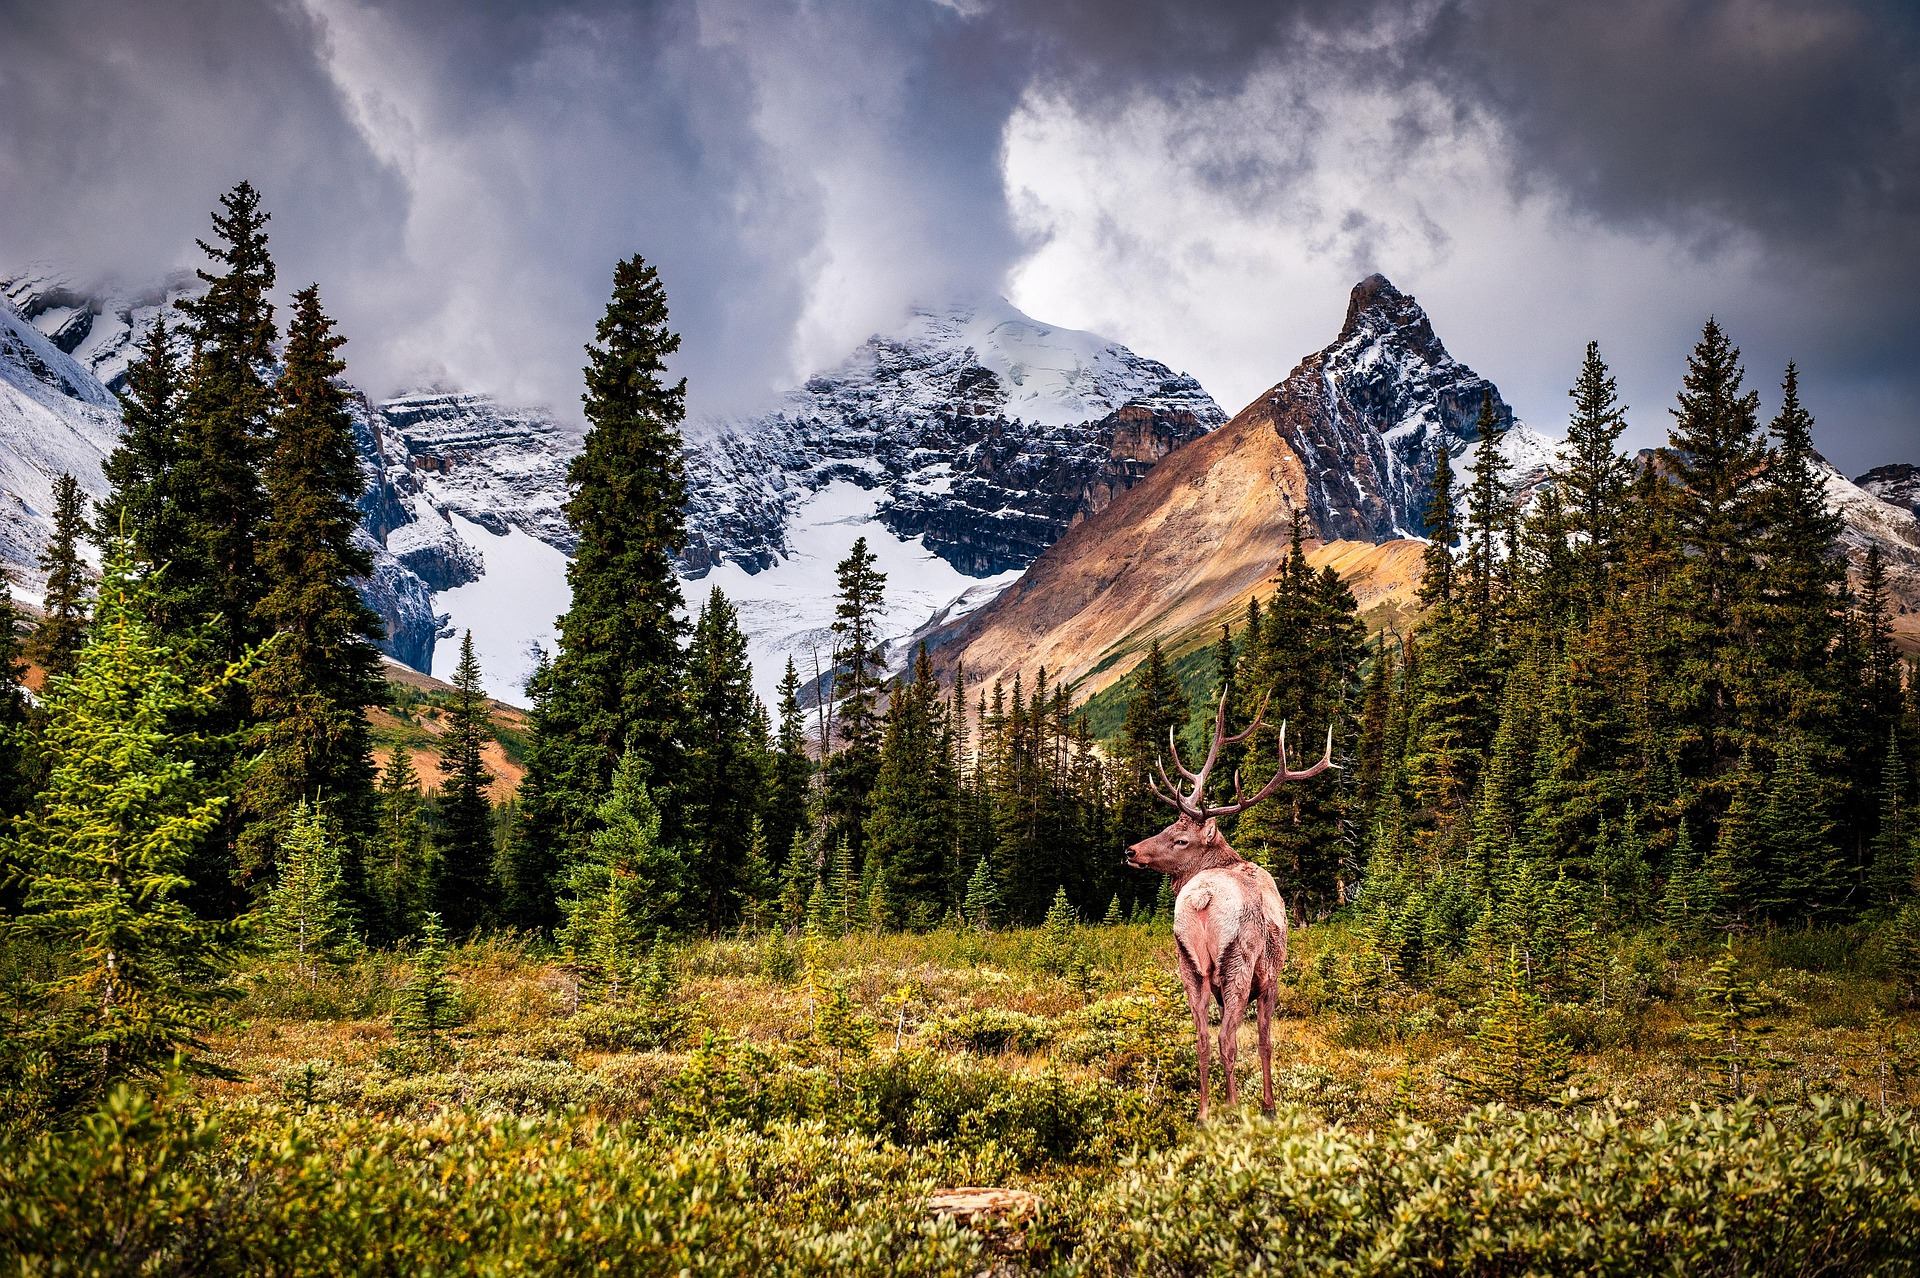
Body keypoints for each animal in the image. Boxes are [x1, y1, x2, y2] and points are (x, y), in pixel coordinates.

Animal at [1125, 687, 1333, 1120]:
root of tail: (1202, 898)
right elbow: (1266, 1041)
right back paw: (1234, 1110)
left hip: (1188, 963)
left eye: (1178, 837)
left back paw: (1204, 1113)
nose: (1131, 850)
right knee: (1226, 1039)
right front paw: (1270, 1105)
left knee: (1202, 1037)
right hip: (1238, 960)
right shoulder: (1271, 978)